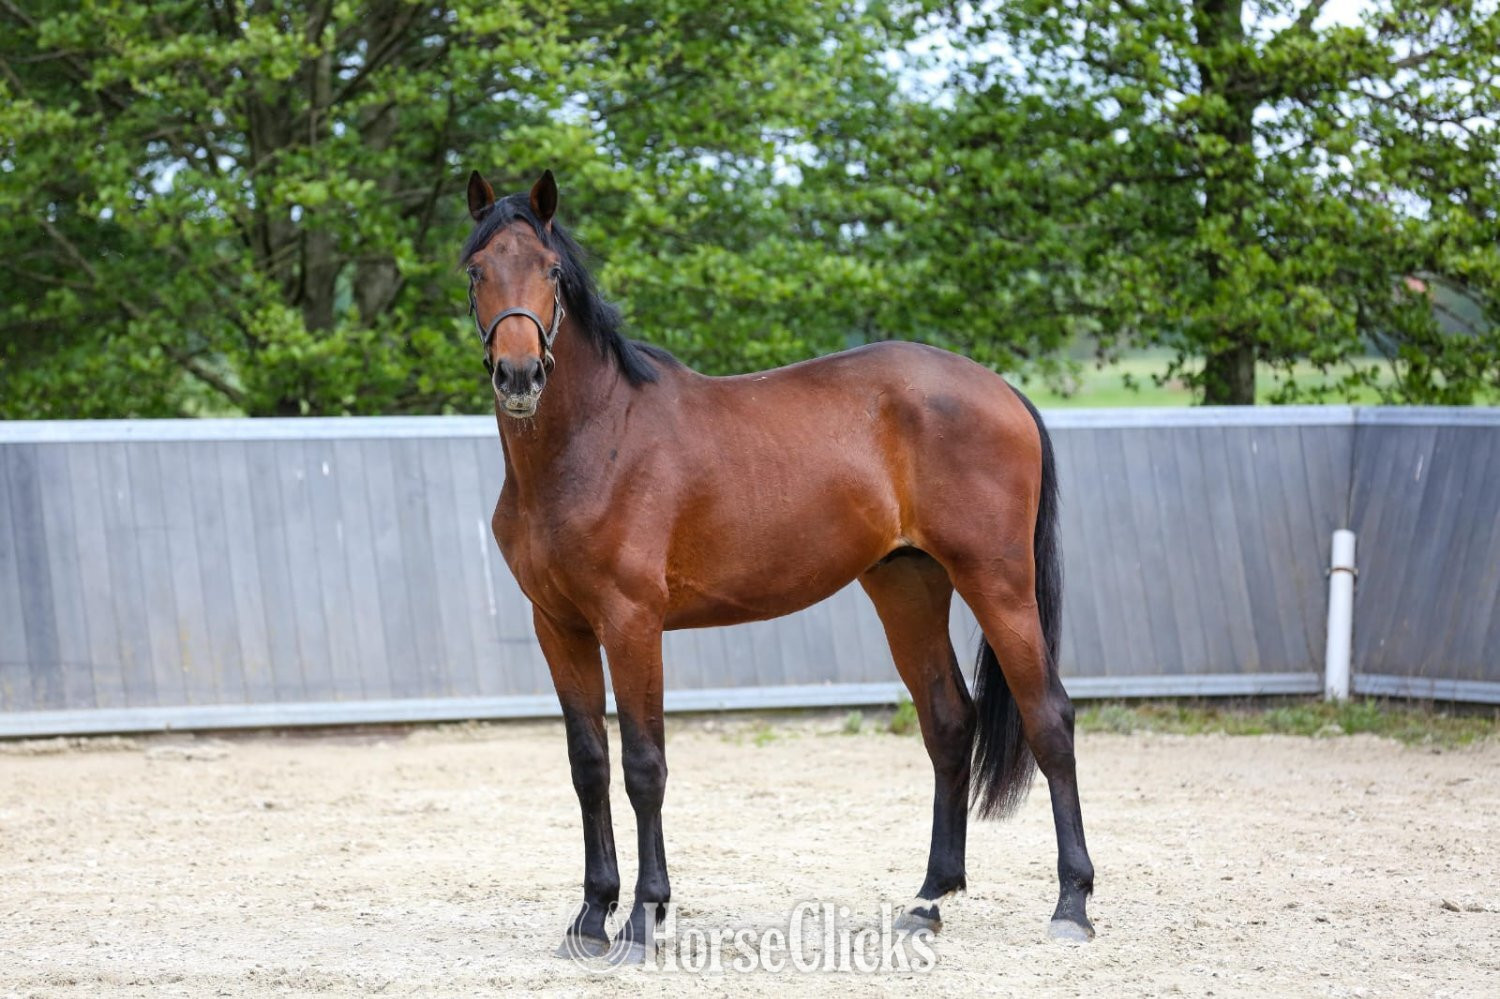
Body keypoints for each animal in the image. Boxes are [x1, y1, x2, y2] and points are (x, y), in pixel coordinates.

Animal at [462, 169, 1095, 961]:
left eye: (551, 270)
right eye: (476, 270)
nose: (519, 374)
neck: (593, 440)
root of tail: (1001, 389)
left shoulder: (630, 622)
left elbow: (644, 765)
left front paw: (643, 918)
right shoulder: (559, 625)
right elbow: (589, 765)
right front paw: (590, 917)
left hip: (998, 582)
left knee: (1050, 718)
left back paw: (1072, 903)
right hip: (908, 584)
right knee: (949, 723)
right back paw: (927, 899)